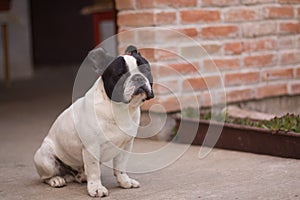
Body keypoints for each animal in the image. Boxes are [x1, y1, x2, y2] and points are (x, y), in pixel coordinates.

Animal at [33, 46, 155, 198]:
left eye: (146, 70)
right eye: (120, 74)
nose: (138, 77)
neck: (119, 108)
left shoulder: (125, 146)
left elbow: (120, 166)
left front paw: (124, 181)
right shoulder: (91, 148)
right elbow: (94, 170)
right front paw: (96, 188)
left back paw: (80, 176)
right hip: (46, 159)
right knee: (45, 176)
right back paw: (56, 179)